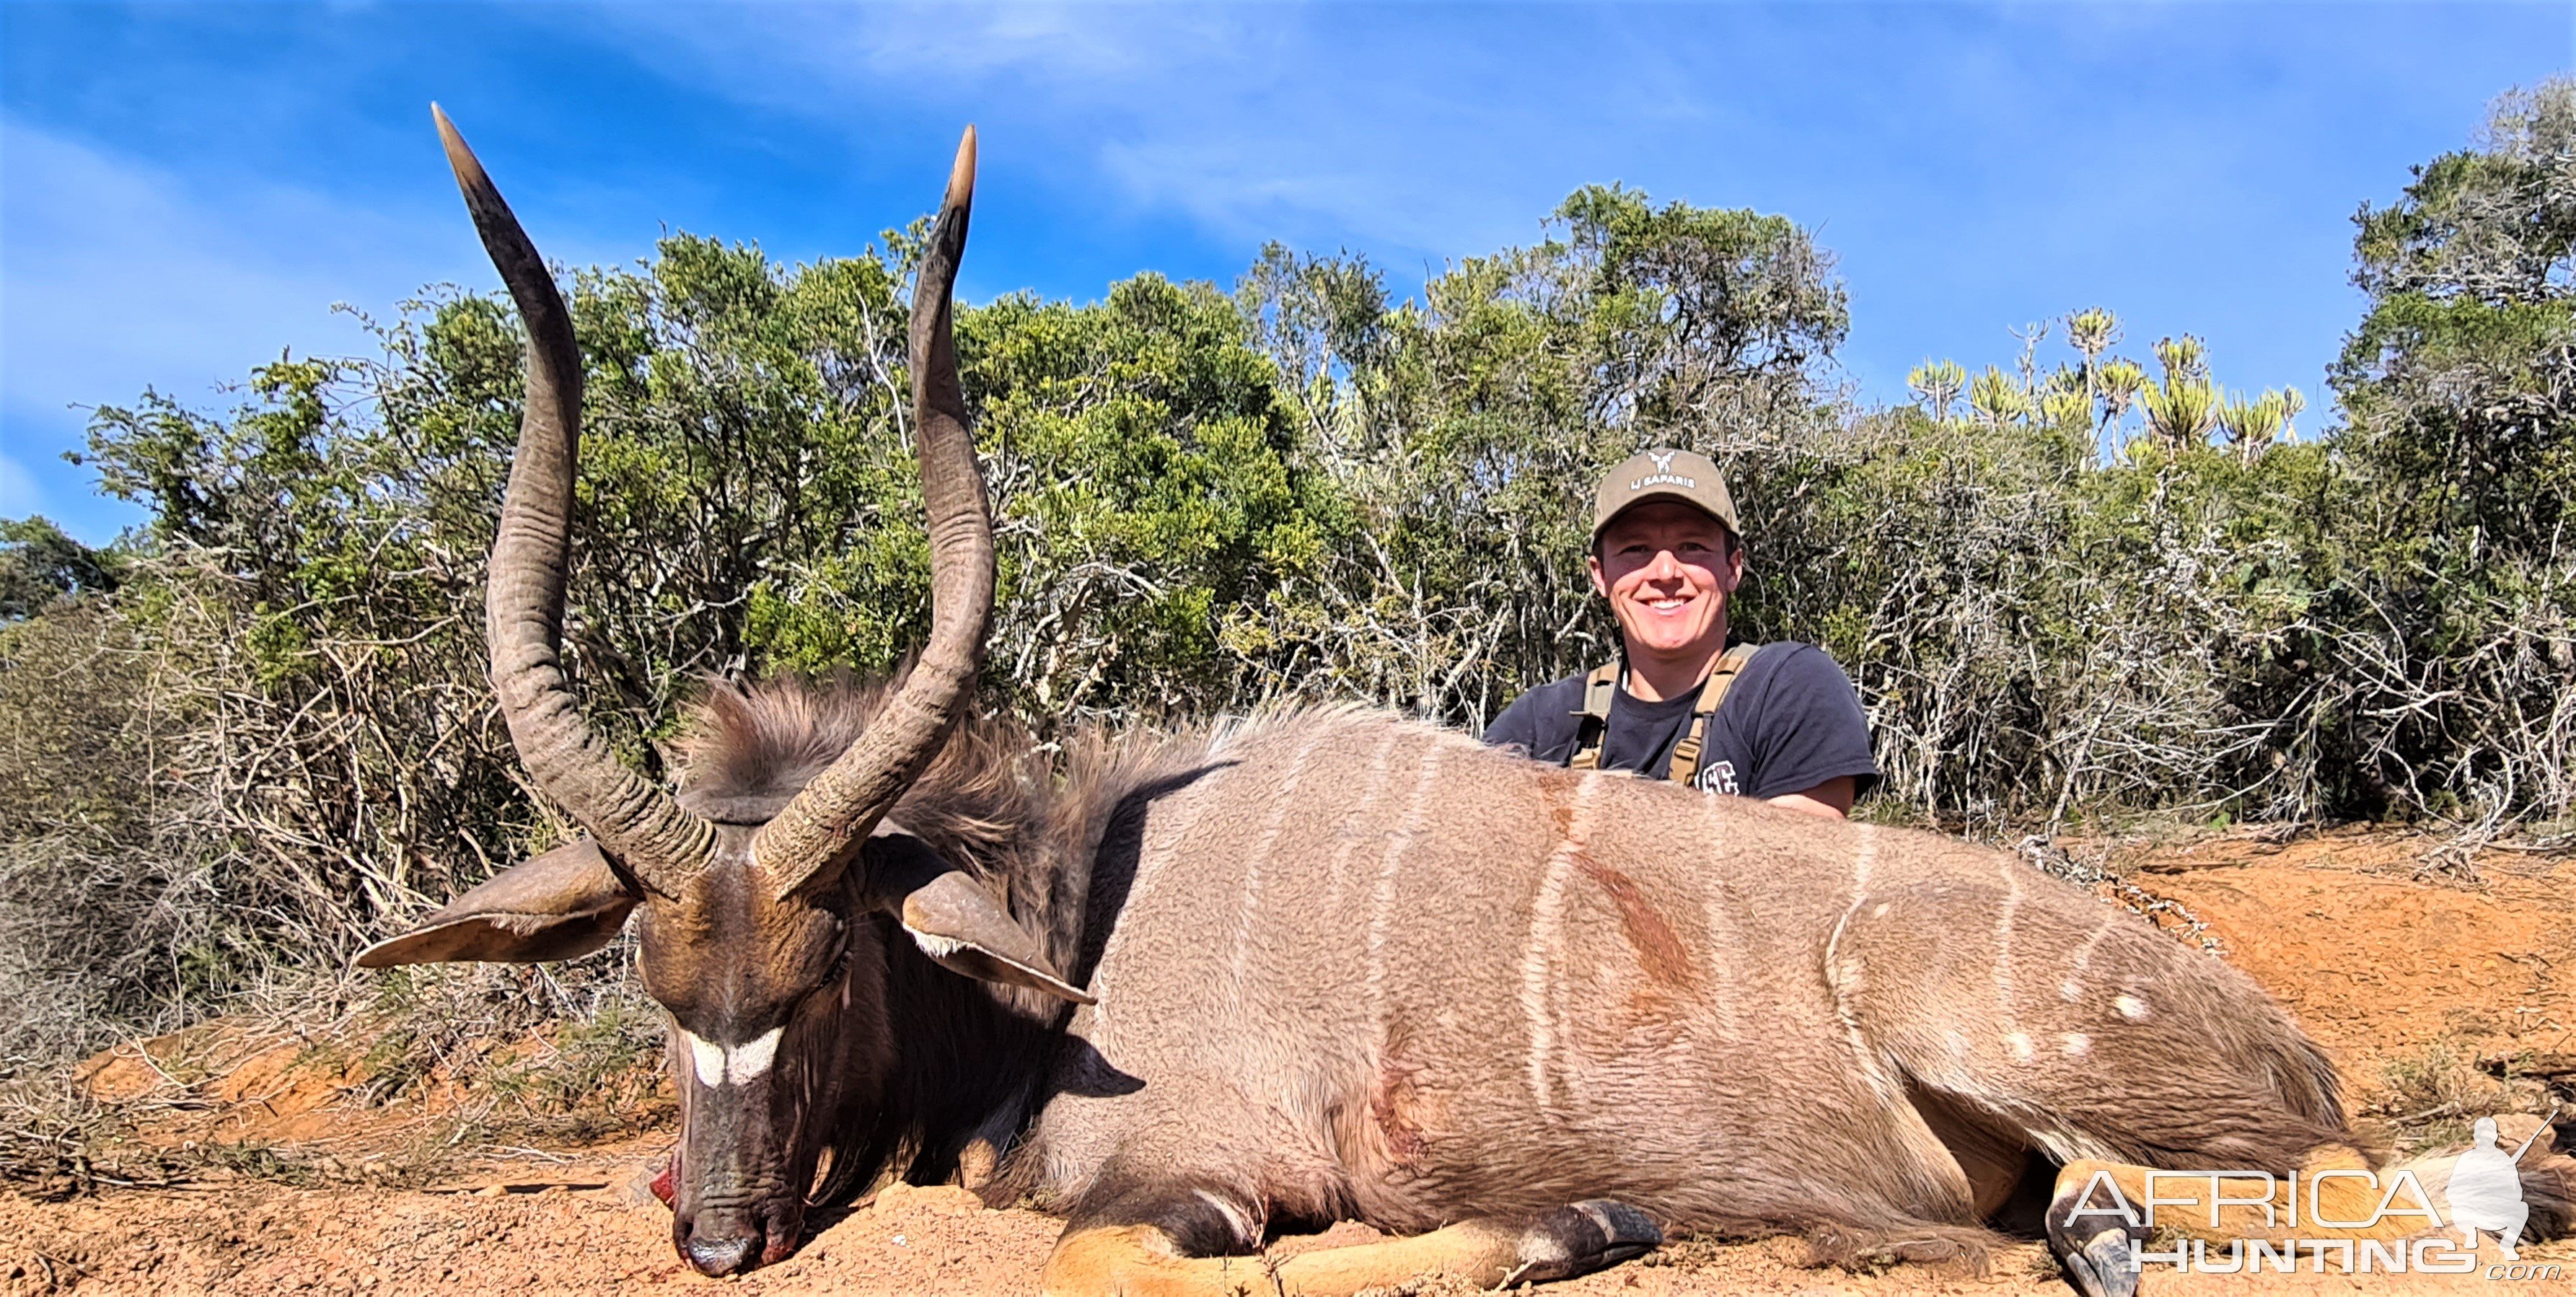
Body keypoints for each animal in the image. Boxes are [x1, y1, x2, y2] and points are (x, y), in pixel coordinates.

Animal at [368, 113, 2576, 1297]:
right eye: (652, 979)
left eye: (823, 967)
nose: (721, 1233)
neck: (1087, 919)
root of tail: (2273, 1026)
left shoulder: (1197, 1174)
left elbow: (1170, 1247)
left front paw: (1571, 1217)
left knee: (2401, 1188)